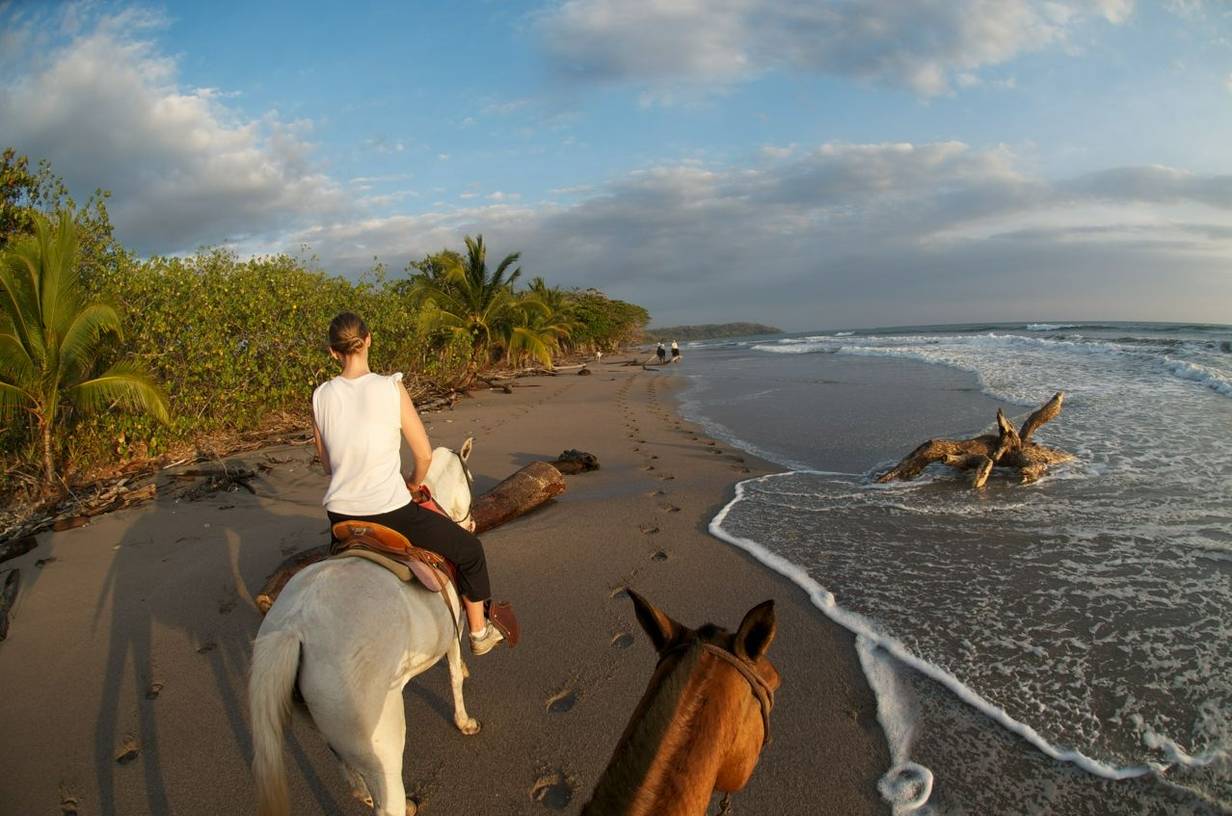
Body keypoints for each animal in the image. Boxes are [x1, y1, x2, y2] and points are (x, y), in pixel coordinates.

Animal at [250, 443, 475, 816]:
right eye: (469, 477)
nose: (470, 524)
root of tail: (293, 628)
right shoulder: (451, 633)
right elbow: (455, 676)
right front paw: (465, 722)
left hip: (331, 728)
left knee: (350, 776)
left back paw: (367, 793)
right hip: (380, 741)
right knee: (386, 799)